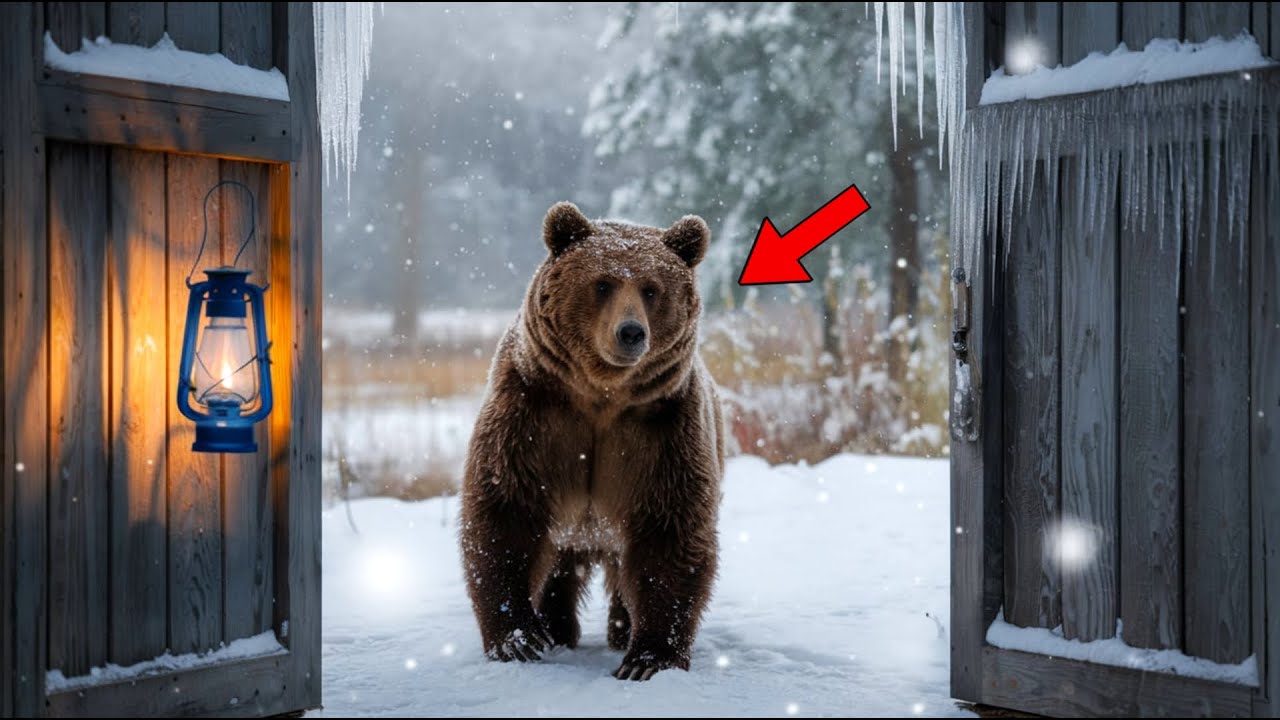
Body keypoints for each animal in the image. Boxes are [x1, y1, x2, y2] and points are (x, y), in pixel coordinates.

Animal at [459, 201, 724, 681]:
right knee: (560, 566)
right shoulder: (534, 417)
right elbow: (505, 512)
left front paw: (647, 659)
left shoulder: (662, 431)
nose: (631, 332)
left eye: (652, 289)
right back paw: (555, 629)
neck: (601, 395)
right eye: (602, 283)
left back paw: (621, 630)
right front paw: (518, 640)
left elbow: (670, 531)